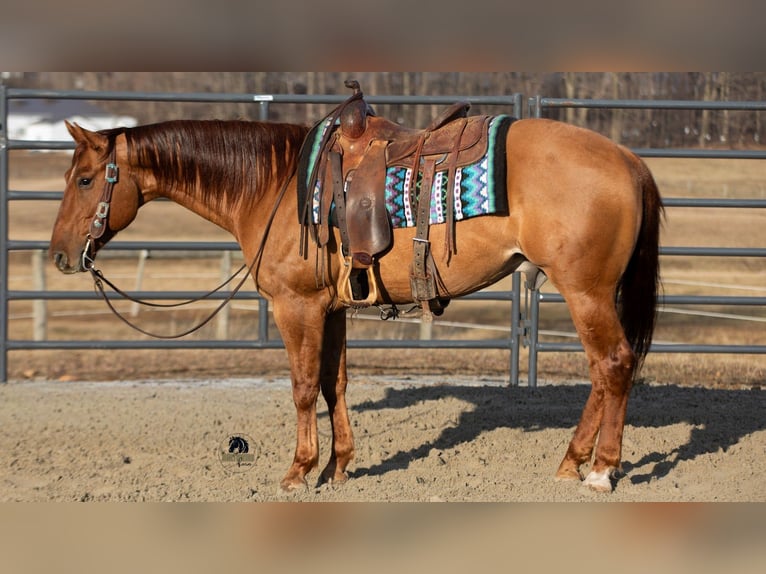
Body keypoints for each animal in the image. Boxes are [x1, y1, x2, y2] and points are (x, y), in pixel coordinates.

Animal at [49, 99, 663, 493]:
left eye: (85, 180)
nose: (59, 255)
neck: (274, 186)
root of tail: (630, 161)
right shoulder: (332, 308)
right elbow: (333, 383)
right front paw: (338, 467)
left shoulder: (295, 306)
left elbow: (301, 388)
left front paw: (298, 471)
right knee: (603, 373)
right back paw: (571, 463)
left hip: (585, 292)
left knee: (613, 365)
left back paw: (601, 471)